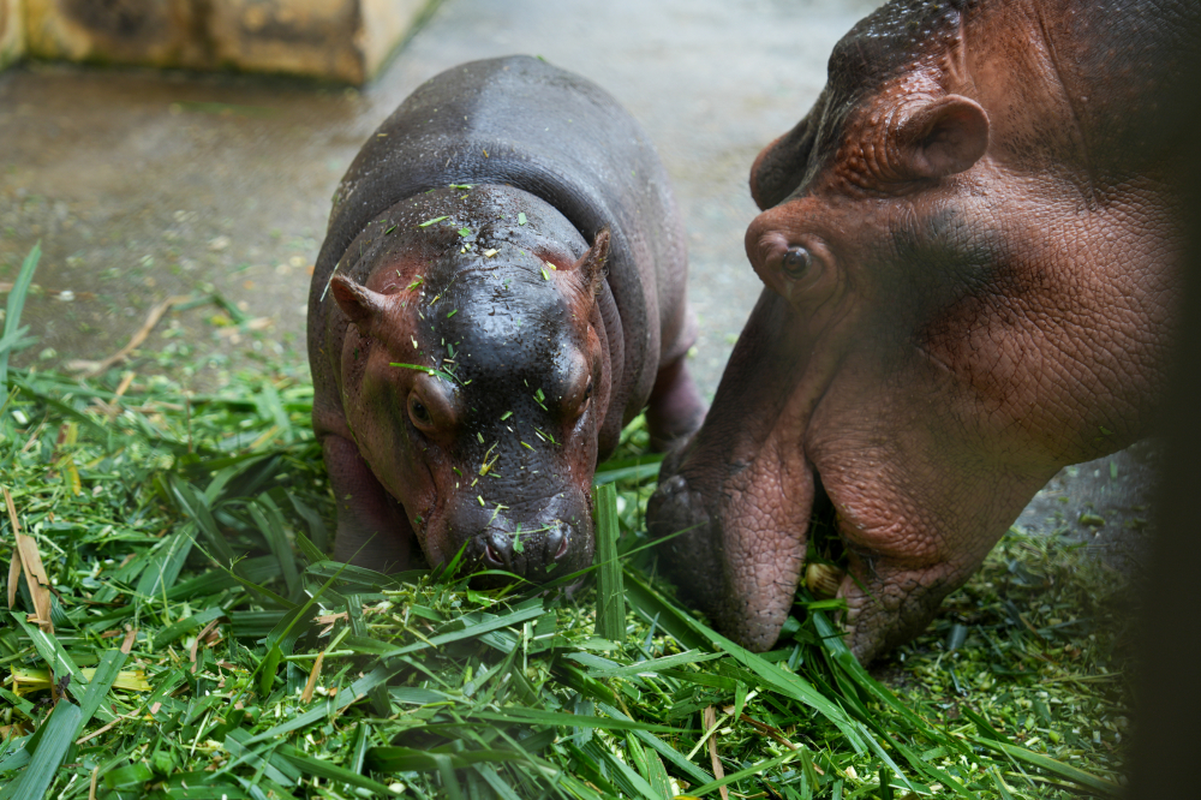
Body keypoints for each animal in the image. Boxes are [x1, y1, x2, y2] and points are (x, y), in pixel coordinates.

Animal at [309, 54, 701, 578]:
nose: (528, 549)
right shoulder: (334, 418)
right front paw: (356, 578)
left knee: (676, 362)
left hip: (673, 299)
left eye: (586, 390)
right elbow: (361, 504)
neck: (470, 211)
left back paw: (681, 436)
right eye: (419, 409)